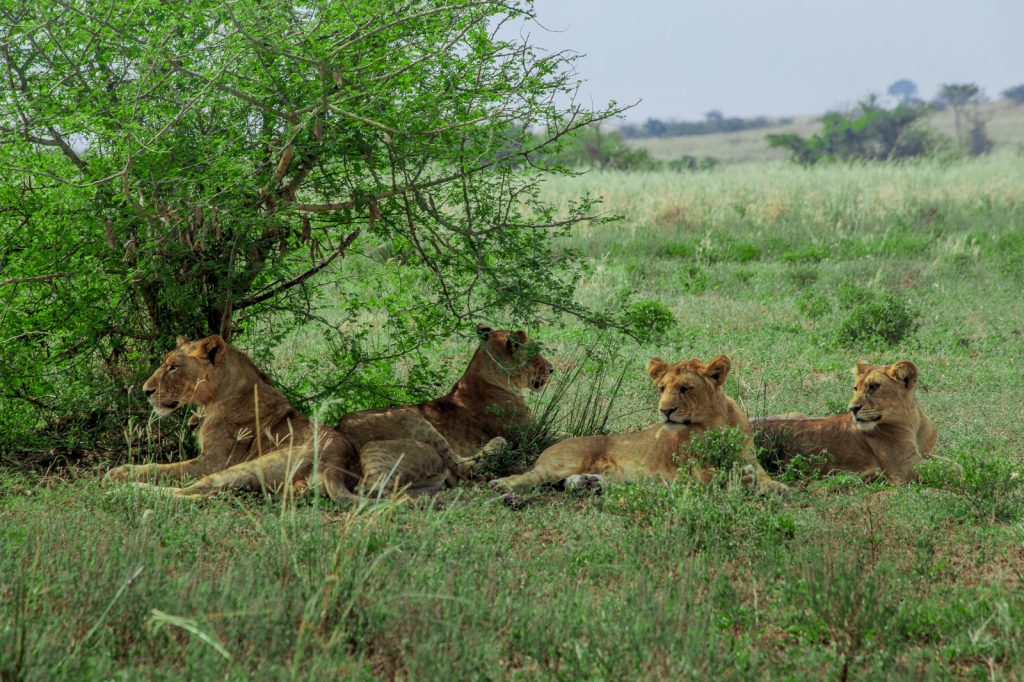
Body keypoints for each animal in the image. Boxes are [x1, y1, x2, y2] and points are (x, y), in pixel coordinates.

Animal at [103, 333, 366, 499]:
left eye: (173, 367)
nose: (145, 391)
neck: (211, 400)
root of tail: (338, 467)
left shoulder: (213, 461)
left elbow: (162, 469)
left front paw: (121, 472)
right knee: (209, 494)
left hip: (249, 465)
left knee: (196, 491)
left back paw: (126, 489)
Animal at [335, 321, 552, 491]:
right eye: (537, 353)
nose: (552, 369)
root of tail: (339, 432)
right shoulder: (534, 435)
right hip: (411, 417)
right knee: (462, 468)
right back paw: (497, 445)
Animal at [489, 352, 790, 491]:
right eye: (661, 388)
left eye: (685, 388)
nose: (665, 410)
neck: (715, 424)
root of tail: (550, 447)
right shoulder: (694, 471)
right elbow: (723, 475)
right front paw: (745, 480)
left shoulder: (748, 457)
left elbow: (762, 473)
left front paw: (775, 487)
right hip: (560, 463)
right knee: (528, 476)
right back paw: (501, 485)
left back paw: (589, 483)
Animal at [753, 358, 937, 481]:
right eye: (855, 388)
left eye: (873, 387)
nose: (852, 409)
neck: (913, 422)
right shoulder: (903, 468)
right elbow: (943, 469)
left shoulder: (924, 454)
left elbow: (943, 461)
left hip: (795, 414)